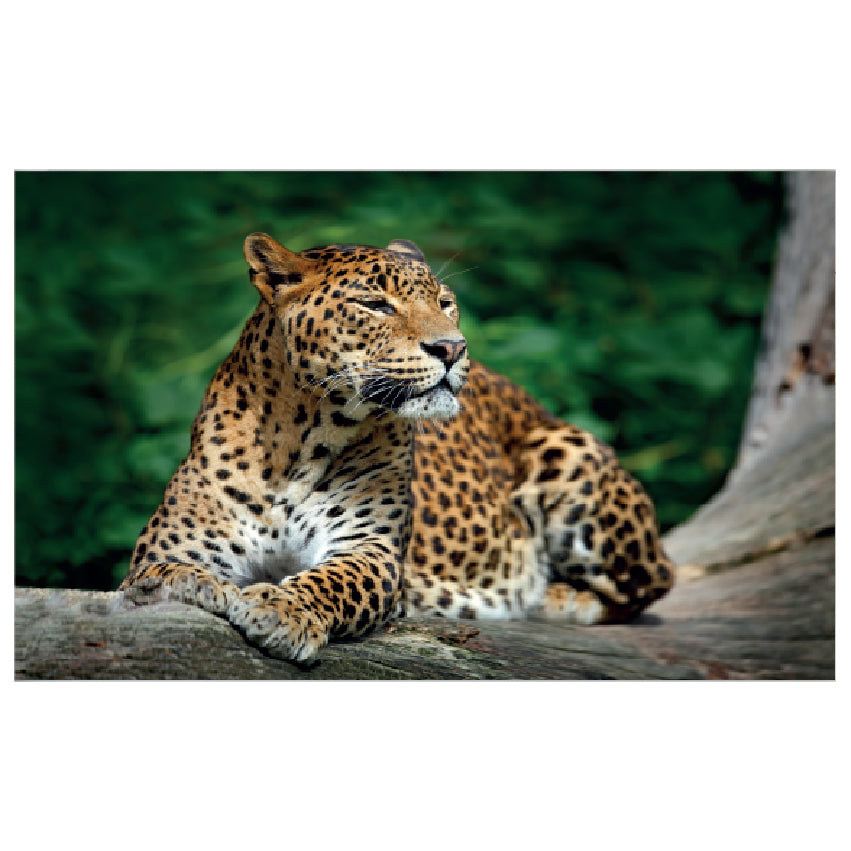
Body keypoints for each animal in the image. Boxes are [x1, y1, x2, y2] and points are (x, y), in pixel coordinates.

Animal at [120, 232, 675, 663]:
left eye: (445, 302)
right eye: (375, 305)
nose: (452, 347)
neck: (299, 442)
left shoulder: (370, 548)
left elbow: (331, 581)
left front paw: (279, 610)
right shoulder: (173, 544)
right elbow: (160, 572)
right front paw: (194, 586)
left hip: (565, 451)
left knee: (651, 582)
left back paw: (551, 596)